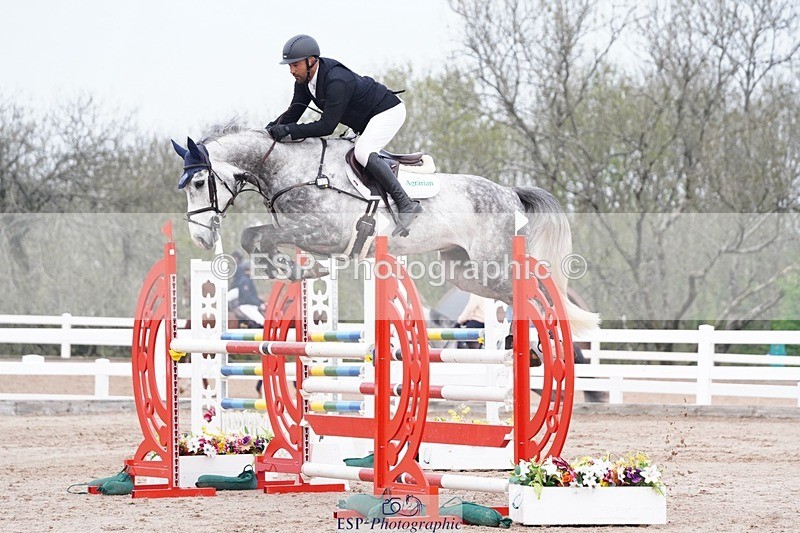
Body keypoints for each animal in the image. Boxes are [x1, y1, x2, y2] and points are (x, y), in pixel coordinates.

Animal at [171, 124, 600, 337]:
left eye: (198, 183)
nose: (201, 239)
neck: (295, 170)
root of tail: (510, 192)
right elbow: (255, 237)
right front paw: (293, 271)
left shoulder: (325, 233)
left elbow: (263, 236)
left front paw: (298, 269)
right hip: (462, 271)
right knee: (512, 293)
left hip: (491, 262)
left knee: (532, 289)